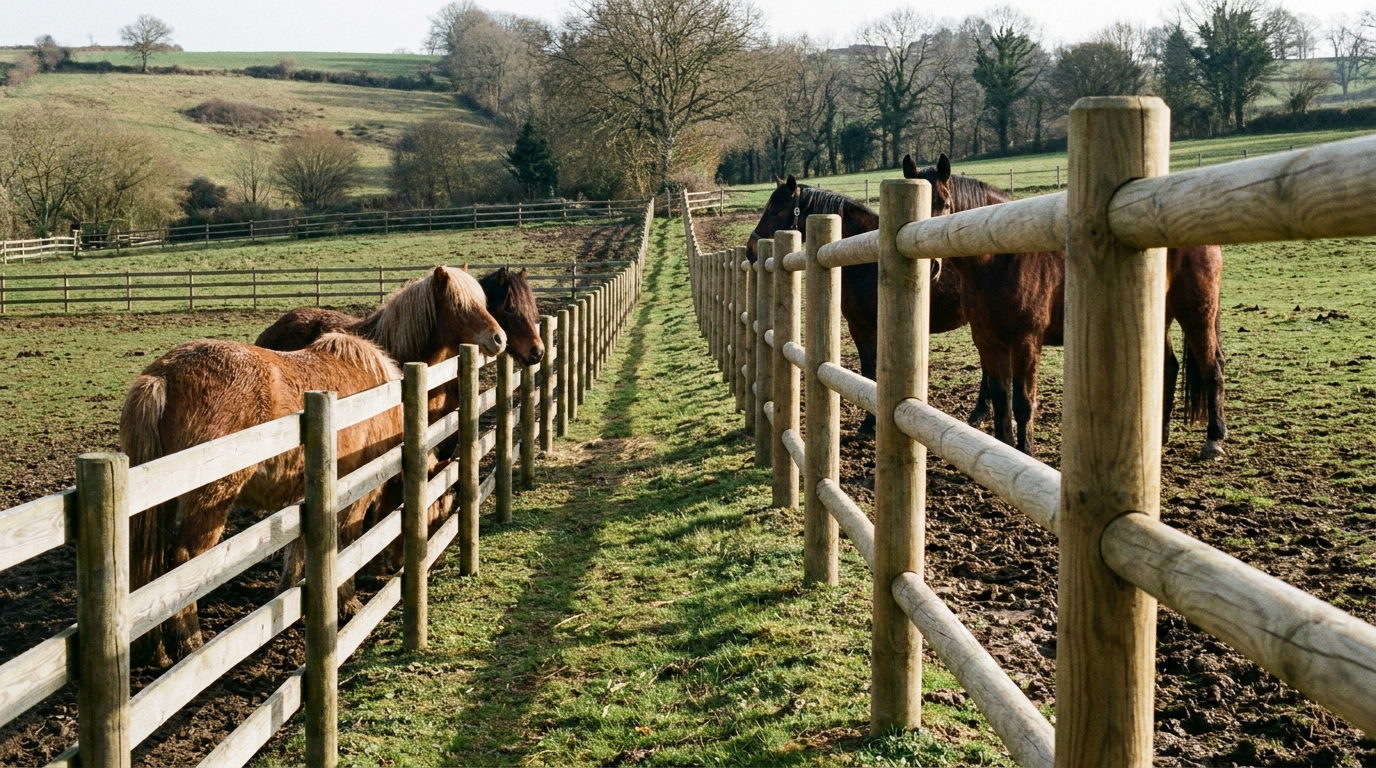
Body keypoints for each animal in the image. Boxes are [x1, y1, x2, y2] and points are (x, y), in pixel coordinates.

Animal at [122, 333, 403, 667]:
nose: (393, 567)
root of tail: (162, 376)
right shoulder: (353, 495)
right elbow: (345, 544)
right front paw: (347, 602)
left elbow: (297, 550)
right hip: (210, 498)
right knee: (183, 563)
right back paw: (189, 642)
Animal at [746, 176, 972, 437]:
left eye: (774, 210)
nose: (750, 249)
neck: (866, 256)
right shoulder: (861, 327)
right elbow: (868, 371)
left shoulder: (865, 328)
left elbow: (871, 372)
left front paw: (869, 423)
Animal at [903, 153, 1227, 459]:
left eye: (945, 203)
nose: (930, 266)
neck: (1002, 259)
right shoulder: (987, 341)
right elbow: (1001, 400)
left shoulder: (1026, 342)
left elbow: (1022, 403)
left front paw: (1025, 453)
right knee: (1169, 367)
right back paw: (1161, 436)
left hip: (1196, 313)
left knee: (1212, 366)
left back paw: (1214, 439)